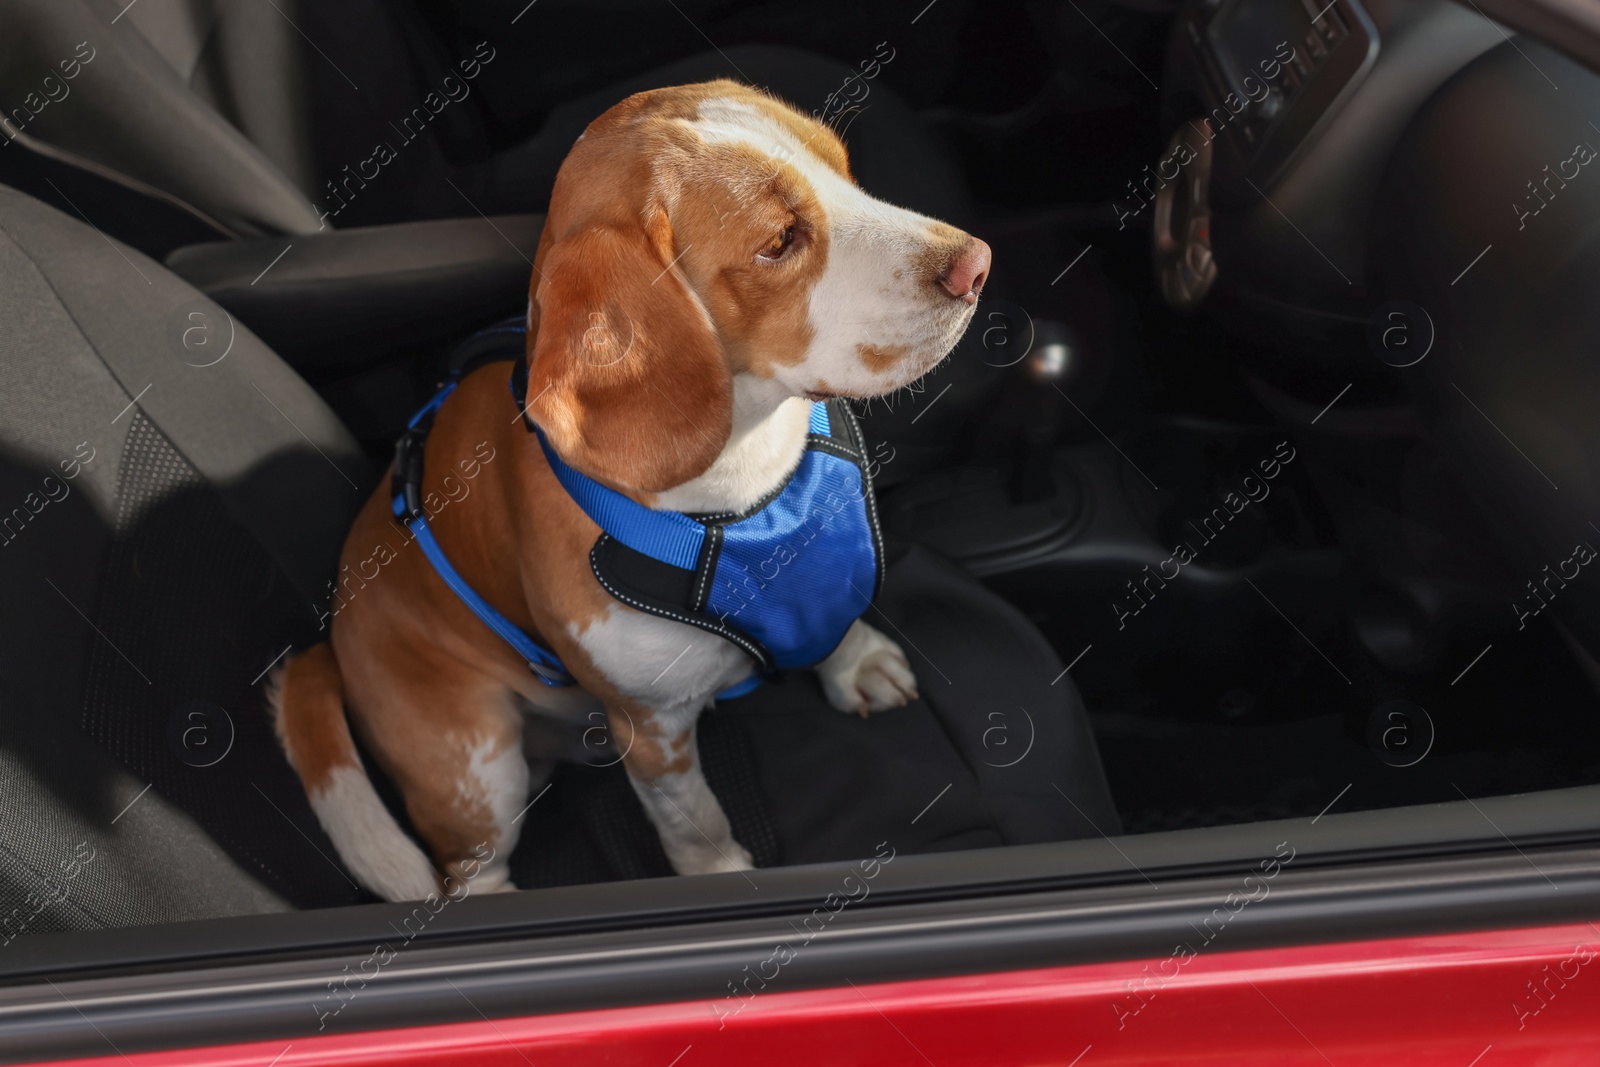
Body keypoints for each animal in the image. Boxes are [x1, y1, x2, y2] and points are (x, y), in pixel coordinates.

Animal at [272, 77, 985, 902]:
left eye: (842, 169)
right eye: (779, 241)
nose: (978, 264)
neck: (748, 482)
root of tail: (333, 636)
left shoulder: (825, 573)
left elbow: (833, 623)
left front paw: (854, 663)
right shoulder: (654, 731)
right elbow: (696, 822)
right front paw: (719, 877)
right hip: (480, 768)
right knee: (469, 873)